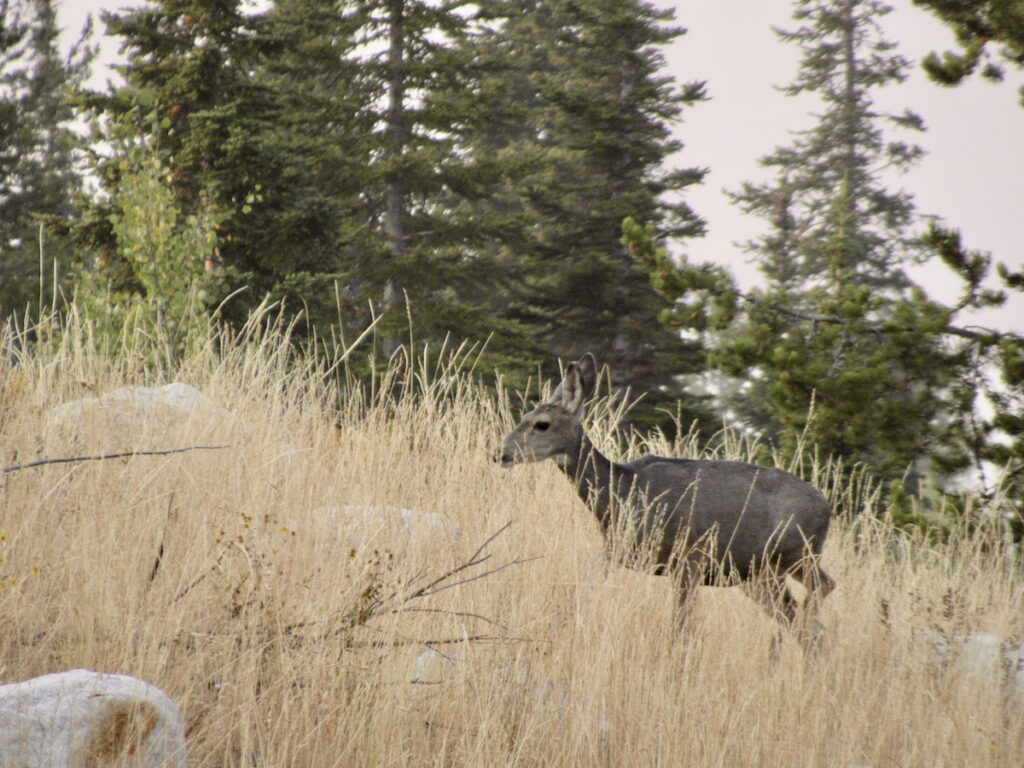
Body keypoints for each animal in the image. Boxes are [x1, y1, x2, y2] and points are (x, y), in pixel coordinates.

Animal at [491, 354, 835, 643]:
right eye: (524, 415)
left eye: (542, 424)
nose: (500, 453)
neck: (622, 493)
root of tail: (827, 507)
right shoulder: (616, 552)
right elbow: (585, 587)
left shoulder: (690, 558)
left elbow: (680, 628)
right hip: (761, 575)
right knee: (805, 626)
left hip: (796, 551)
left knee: (822, 592)